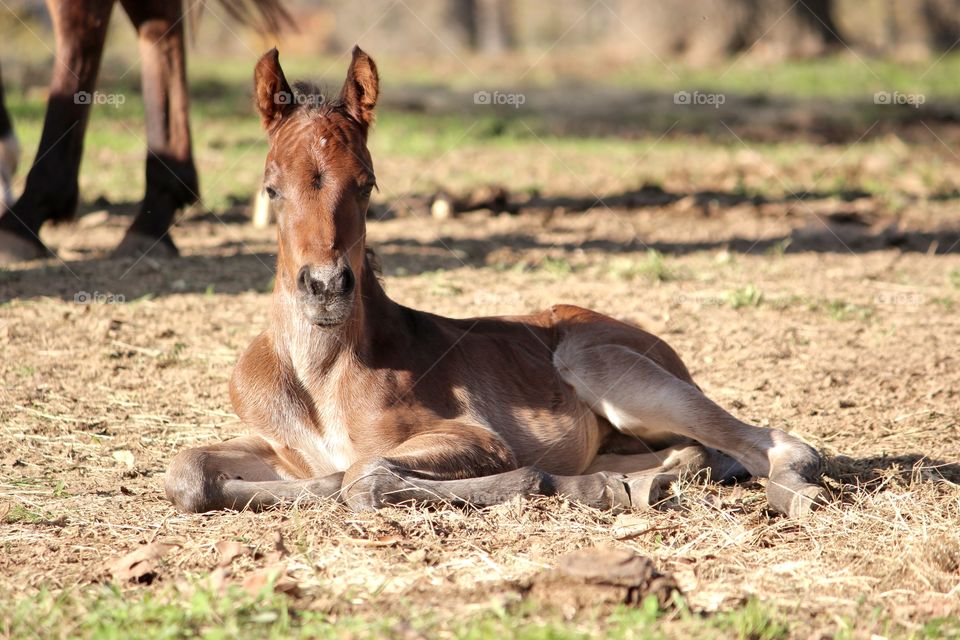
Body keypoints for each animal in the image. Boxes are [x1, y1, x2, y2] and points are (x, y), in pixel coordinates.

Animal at [164, 47, 828, 519]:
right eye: (271, 187)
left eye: (367, 183)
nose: (326, 286)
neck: (319, 374)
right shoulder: (278, 447)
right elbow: (186, 472)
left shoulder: (473, 438)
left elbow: (364, 477)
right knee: (695, 452)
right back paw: (639, 483)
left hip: (608, 369)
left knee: (778, 445)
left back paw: (786, 491)